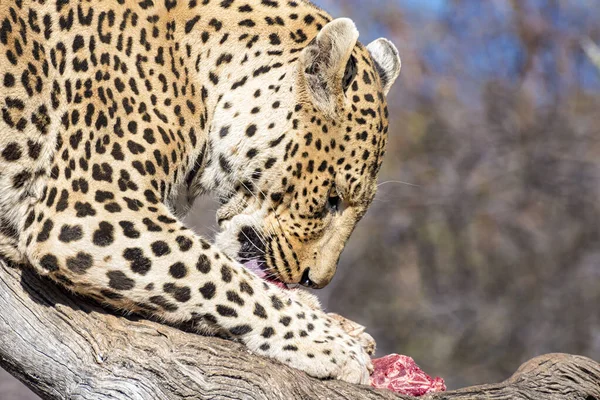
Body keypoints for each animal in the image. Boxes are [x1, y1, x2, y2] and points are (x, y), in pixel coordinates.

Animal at [1, 0, 404, 384]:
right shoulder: (89, 207)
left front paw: (334, 321)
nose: (316, 280)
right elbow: (223, 278)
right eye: (333, 199)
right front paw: (332, 344)